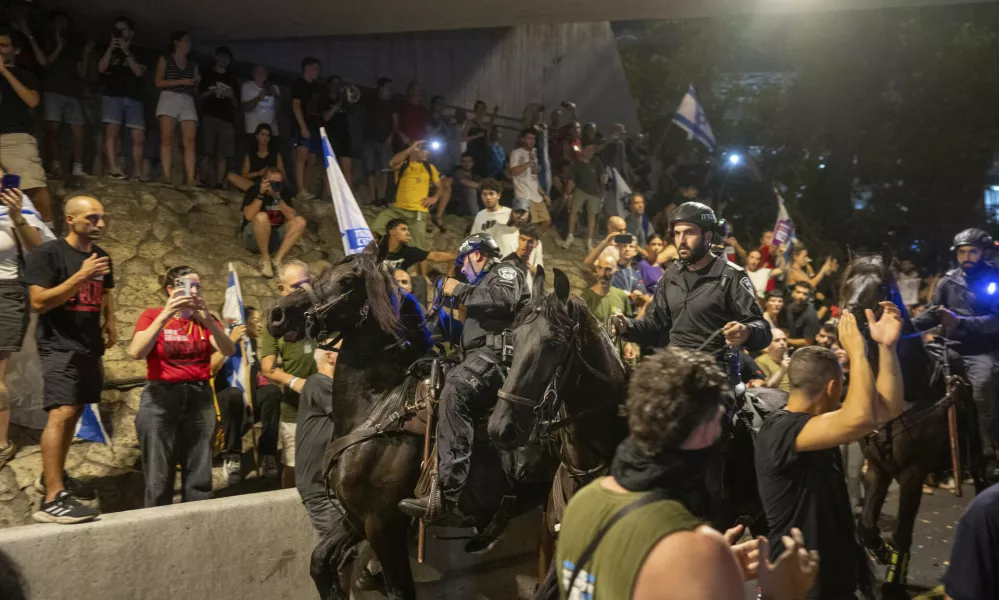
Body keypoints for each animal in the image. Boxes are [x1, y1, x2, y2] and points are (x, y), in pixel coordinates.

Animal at [840, 248, 988, 596]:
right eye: (847, 282)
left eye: (881, 287)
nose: (849, 316)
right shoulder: (879, 469)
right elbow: (866, 525)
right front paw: (881, 551)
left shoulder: (912, 474)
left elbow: (903, 532)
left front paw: (893, 583)